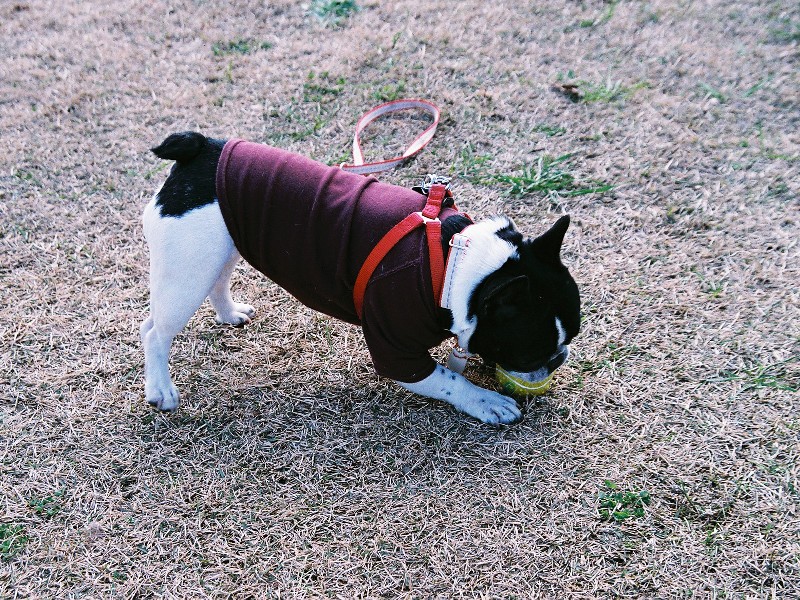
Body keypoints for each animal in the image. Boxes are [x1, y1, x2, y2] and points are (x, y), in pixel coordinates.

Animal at [142, 132, 580, 422]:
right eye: (531, 354)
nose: (558, 359)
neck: (454, 261)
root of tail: (204, 149)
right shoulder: (396, 350)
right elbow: (447, 381)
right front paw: (484, 400)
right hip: (187, 270)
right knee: (154, 331)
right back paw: (161, 390)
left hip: (221, 246)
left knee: (217, 281)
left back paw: (229, 313)